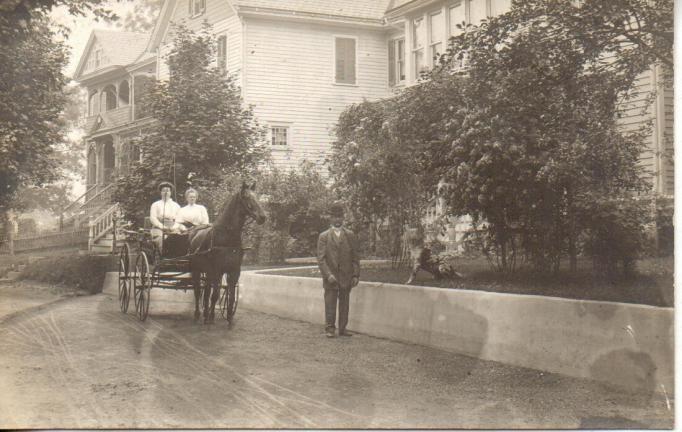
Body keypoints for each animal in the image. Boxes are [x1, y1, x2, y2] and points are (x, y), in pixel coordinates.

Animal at [190, 180, 266, 324]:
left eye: (257, 196)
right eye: (246, 197)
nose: (263, 217)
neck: (227, 235)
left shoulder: (234, 270)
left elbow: (230, 297)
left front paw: (229, 318)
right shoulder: (217, 270)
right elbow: (215, 295)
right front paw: (211, 318)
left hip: (207, 272)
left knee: (206, 291)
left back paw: (206, 313)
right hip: (196, 270)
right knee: (198, 291)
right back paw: (198, 314)